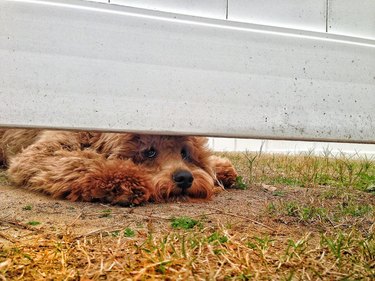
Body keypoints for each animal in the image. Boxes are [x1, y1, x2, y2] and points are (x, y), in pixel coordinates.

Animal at [0, 129, 238, 206]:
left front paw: (222, 169)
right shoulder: (42, 152)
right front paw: (128, 181)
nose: (184, 178)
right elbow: (85, 163)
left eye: (184, 153)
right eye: (149, 151)